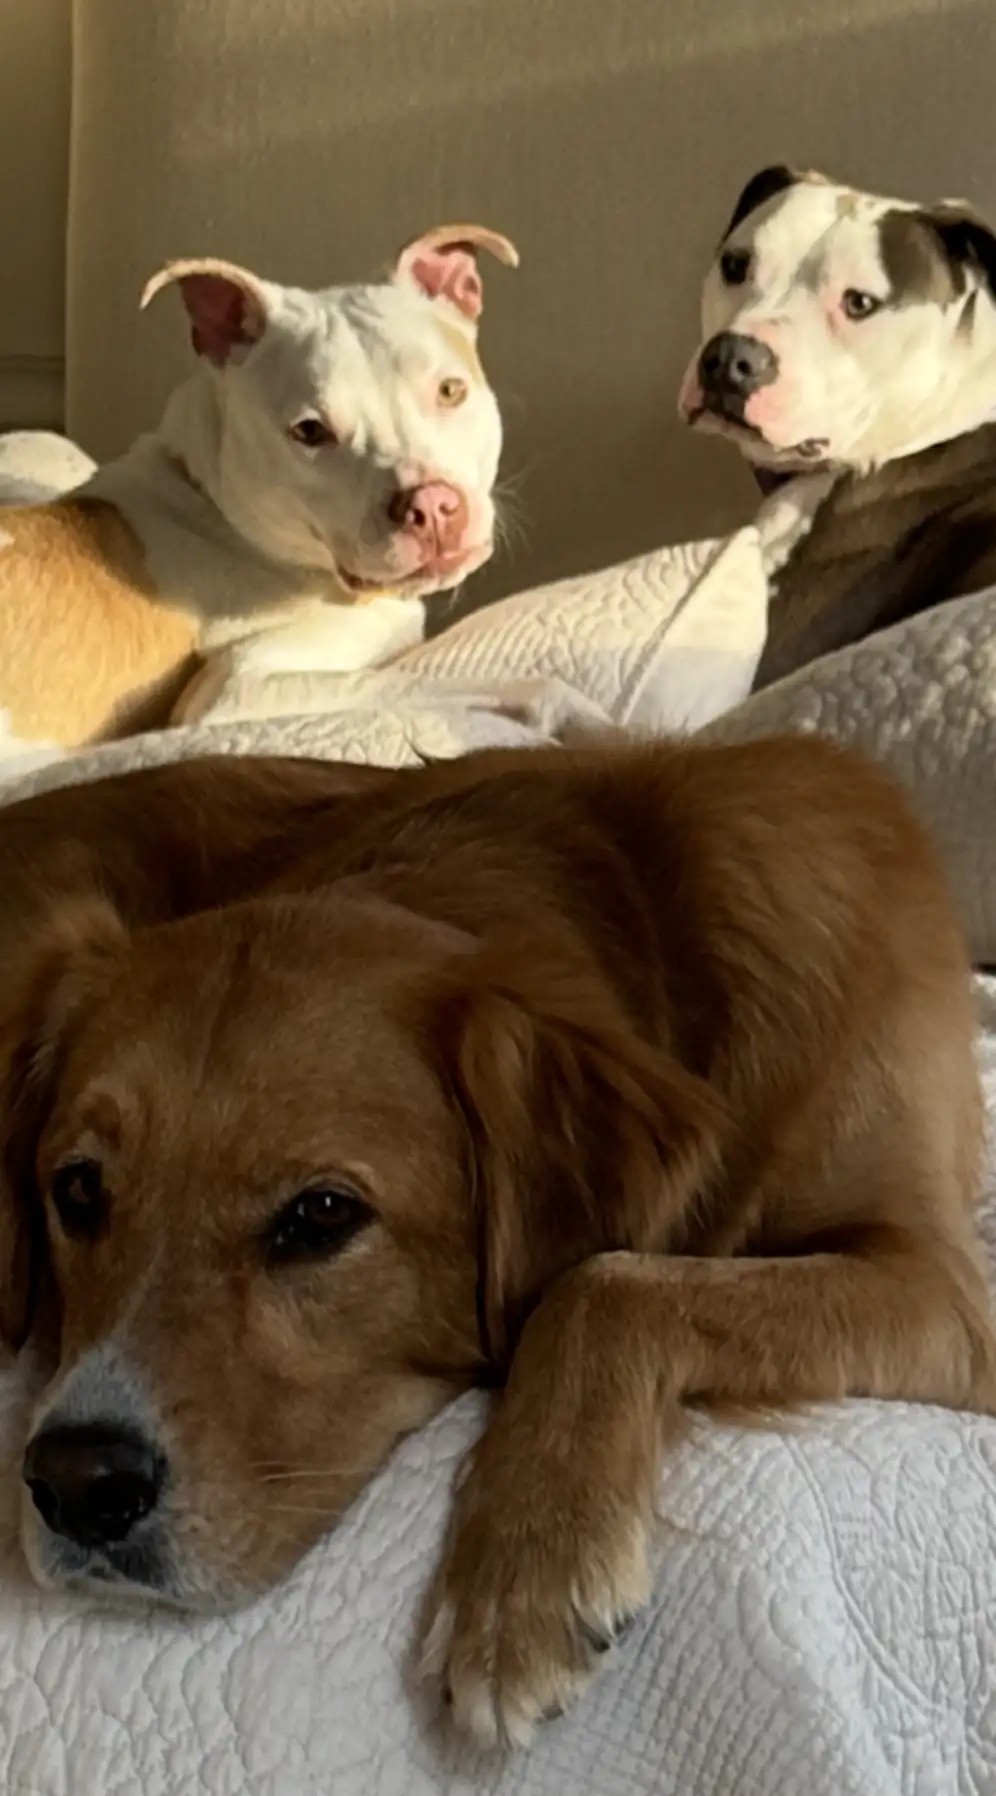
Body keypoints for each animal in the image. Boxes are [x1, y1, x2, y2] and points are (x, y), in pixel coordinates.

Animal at [0, 220, 516, 761]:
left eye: (451, 391)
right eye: (309, 432)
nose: (433, 507)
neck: (210, 502)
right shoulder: (234, 687)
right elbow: (450, 682)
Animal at [0, 736, 990, 1745]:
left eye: (322, 1215)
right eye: (78, 1189)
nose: (75, 1483)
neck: (663, 935)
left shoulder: (941, 1286)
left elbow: (606, 1283)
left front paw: (523, 1574)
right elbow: (609, 1276)